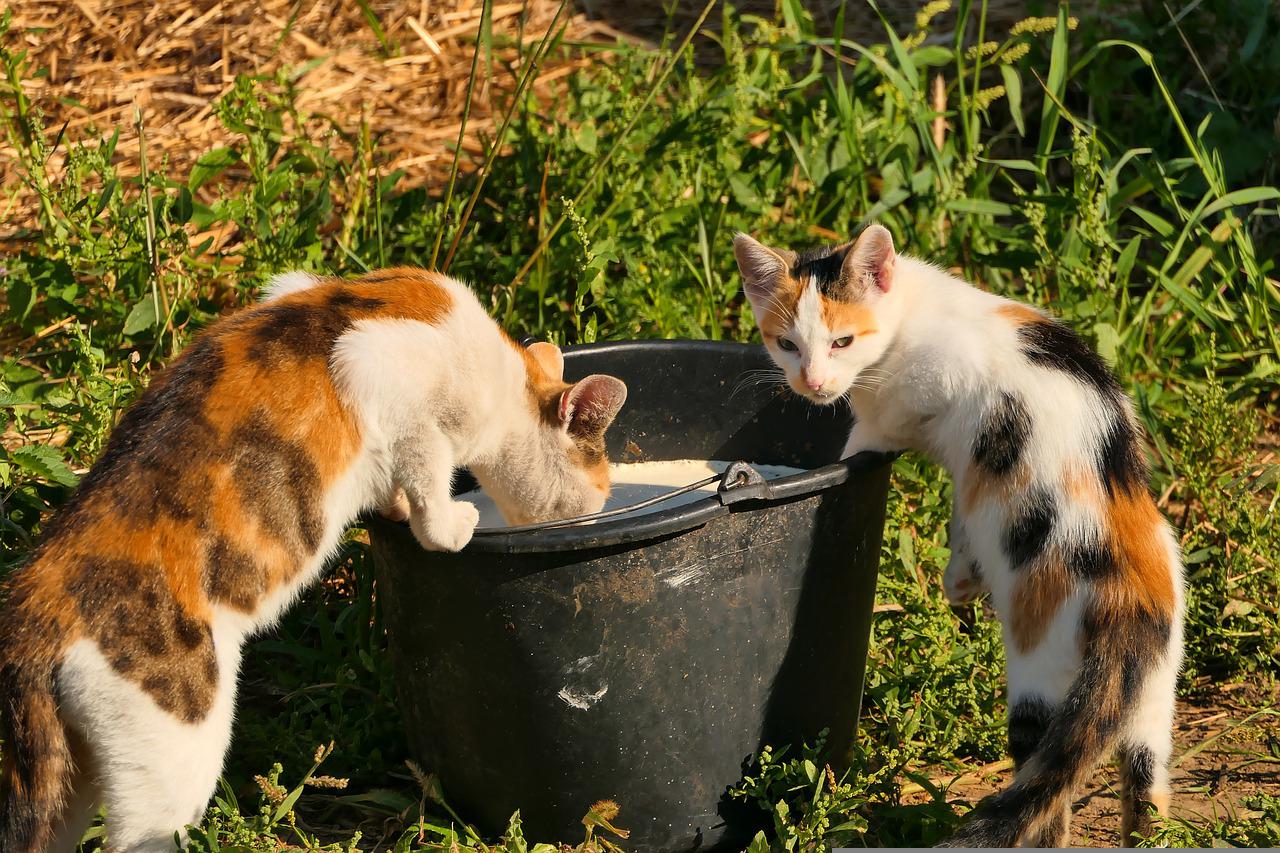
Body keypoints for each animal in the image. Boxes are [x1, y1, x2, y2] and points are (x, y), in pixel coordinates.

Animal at [0, 268, 629, 850]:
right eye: (598, 493)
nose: (597, 514)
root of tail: (35, 594)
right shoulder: (377, 367)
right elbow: (428, 477)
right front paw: (448, 523)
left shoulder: (289, 287)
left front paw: (395, 503)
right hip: (175, 750)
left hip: (69, 782)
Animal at [737, 224, 1182, 845]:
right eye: (786, 344)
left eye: (843, 342)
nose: (813, 381)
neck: (906, 318)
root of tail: (1134, 594)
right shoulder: (969, 473)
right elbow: (963, 511)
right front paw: (960, 579)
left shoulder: (938, 398)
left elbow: (874, 436)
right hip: (1153, 698)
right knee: (1146, 786)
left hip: (1043, 680)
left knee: (1046, 799)